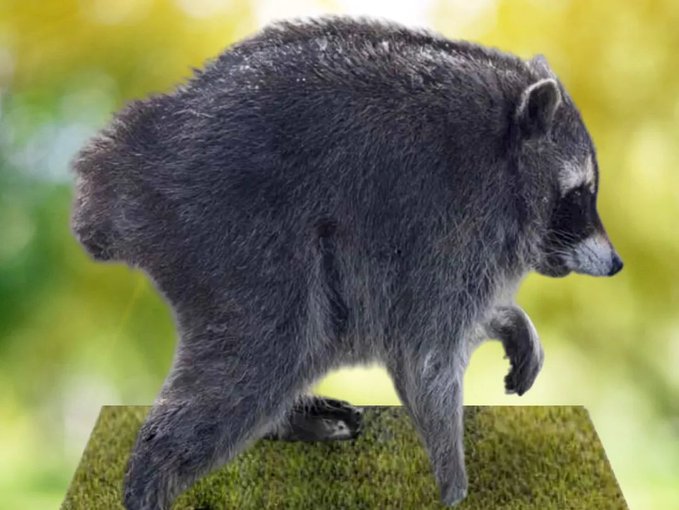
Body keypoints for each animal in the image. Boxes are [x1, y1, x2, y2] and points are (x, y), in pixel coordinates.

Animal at [70, 16, 622, 509]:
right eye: (580, 195)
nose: (616, 265)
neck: (505, 145)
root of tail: (131, 157)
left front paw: (510, 320)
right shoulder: (451, 223)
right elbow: (426, 355)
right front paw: (454, 483)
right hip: (232, 228)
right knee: (266, 348)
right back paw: (152, 477)